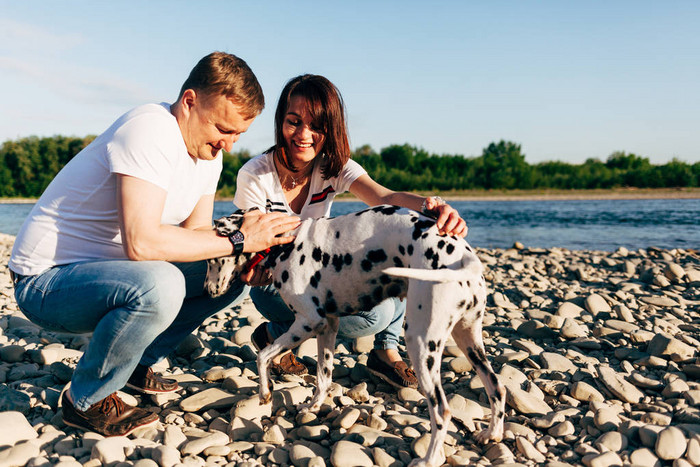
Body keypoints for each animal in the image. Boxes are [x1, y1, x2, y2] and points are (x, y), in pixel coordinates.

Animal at [205, 206, 506, 467]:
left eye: (213, 257)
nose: (207, 291)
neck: (285, 242)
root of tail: (465, 257)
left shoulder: (307, 322)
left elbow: (263, 356)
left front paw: (265, 393)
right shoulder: (327, 327)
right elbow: (323, 377)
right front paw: (313, 406)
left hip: (421, 344)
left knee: (442, 411)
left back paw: (429, 459)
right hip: (469, 341)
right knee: (496, 388)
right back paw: (491, 434)